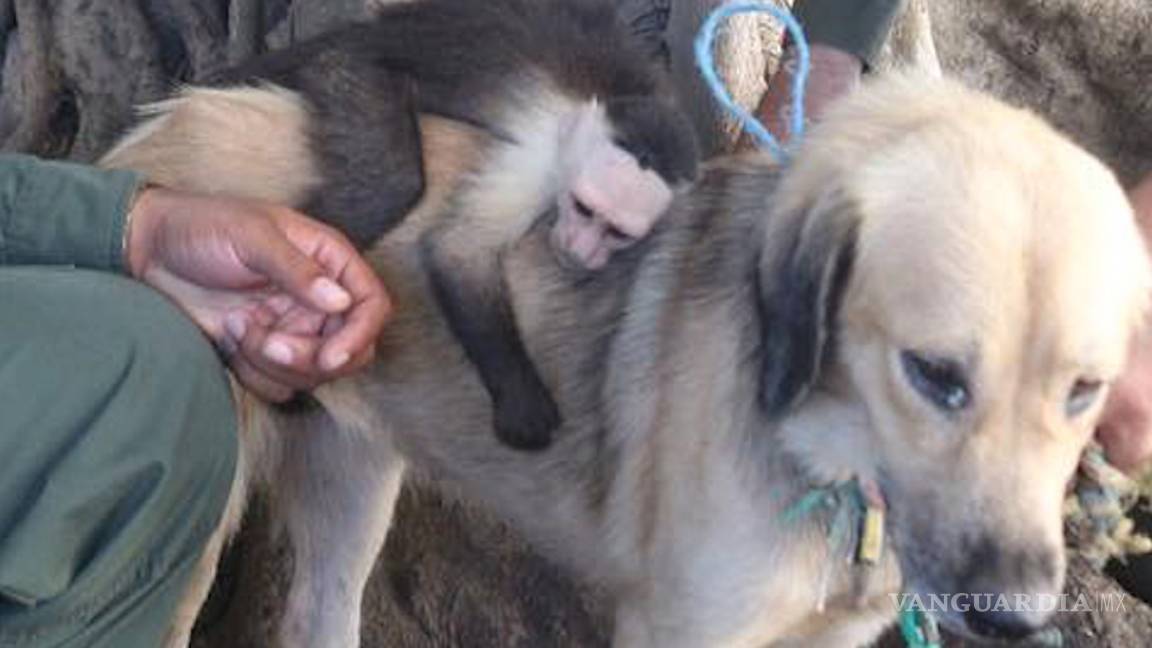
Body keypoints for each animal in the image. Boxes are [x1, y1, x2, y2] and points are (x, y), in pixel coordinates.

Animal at [105, 0, 700, 451]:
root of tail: (369, 31)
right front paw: (523, 402)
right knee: (389, 182)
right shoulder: (540, 158)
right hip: (349, 71)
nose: (579, 250)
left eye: (615, 232)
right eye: (583, 209)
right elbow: (456, 252)